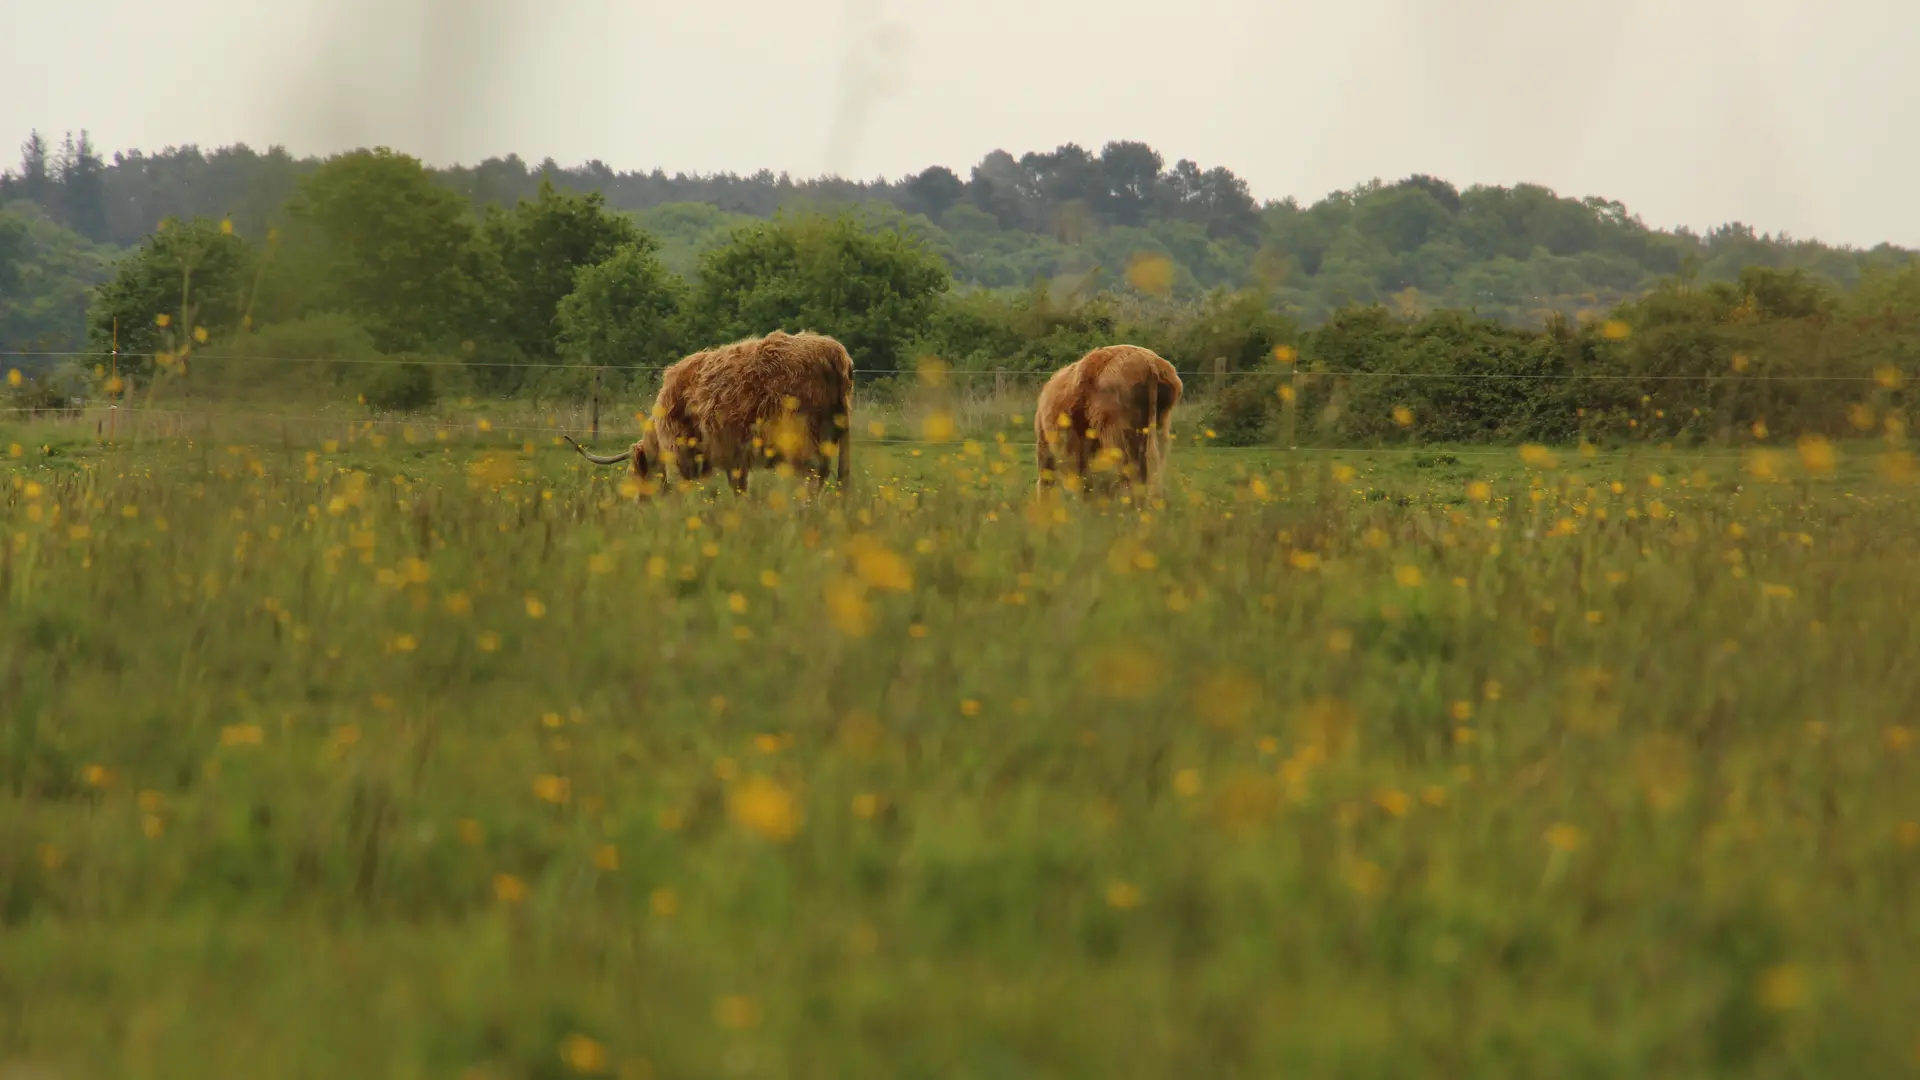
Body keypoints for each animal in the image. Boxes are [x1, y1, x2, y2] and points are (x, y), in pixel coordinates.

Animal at [560, 330, 852, 495]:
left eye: (640, 473)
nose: (640, 502)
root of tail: (834, 350)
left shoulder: (682, 453)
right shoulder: (735, 458)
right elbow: (738, 488)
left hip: (804, 440)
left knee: (813, 477)